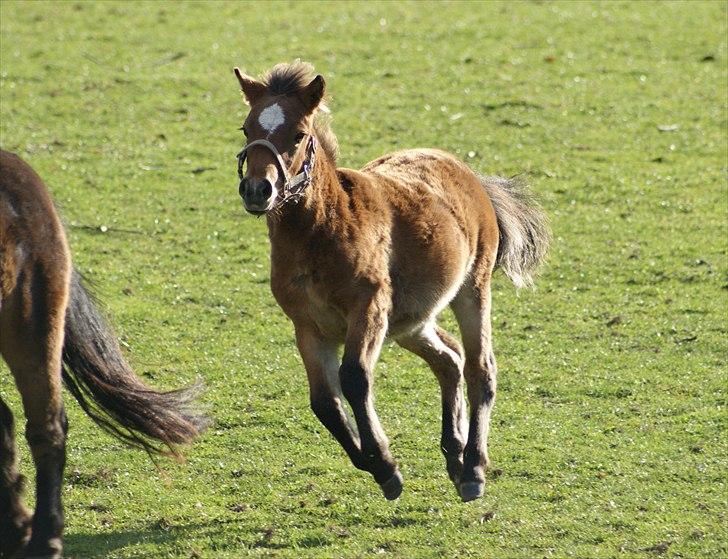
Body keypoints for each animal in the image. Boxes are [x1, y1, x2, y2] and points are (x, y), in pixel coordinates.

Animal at [232, 62, 544, 504]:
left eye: (298, 134)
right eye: (246, 128)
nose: (258, 190)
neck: (321, 232)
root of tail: (467, 171)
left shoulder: (370, 308)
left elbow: (354, 378)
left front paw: (385, 465)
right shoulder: (308, 326)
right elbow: (324, 402)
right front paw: (374, 463)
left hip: (471, 289)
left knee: (480, 369)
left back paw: (472, 469)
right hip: (411, 320)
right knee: (449, 360)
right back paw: (454, 454)